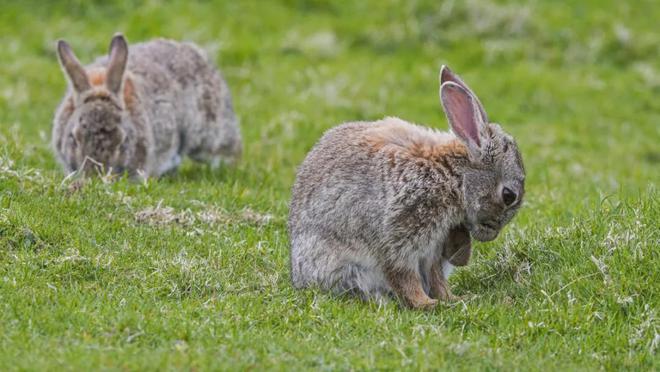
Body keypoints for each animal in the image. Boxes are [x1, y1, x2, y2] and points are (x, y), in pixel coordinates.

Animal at [288, 65, 524, 310]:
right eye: (508, 195)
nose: (491, 234)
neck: (453, 176)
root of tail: (299, 275)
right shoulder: (400, 233)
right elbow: (403, 275)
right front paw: (427, 303)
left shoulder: (434, 247)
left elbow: (435, 276)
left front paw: (454, 299)